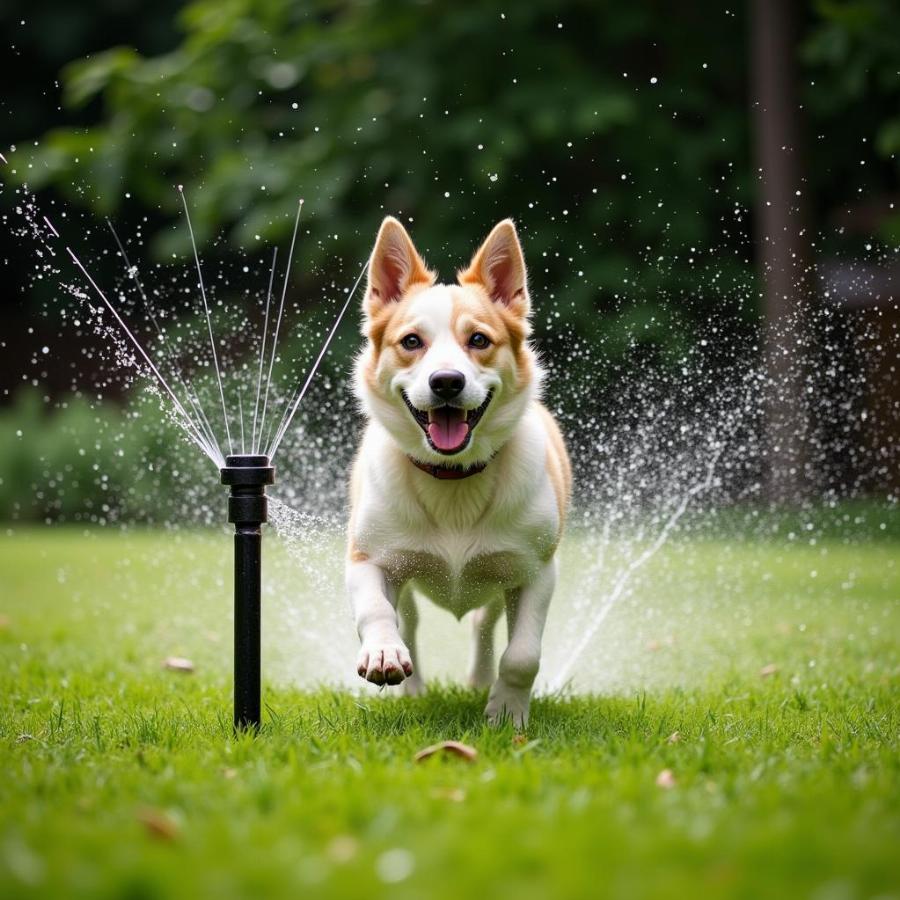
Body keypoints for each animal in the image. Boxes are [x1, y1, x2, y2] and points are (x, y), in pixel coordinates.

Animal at [346, 220, 568, 732]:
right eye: (411, 342)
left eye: (479, 340)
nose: (446, 382)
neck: (452, 480)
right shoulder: (366, 556)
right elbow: (375, 609)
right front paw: (384, 655)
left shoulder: (537, 569)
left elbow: (523, 655)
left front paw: (507, 712)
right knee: (408, 620)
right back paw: (411, 688)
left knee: (484, 624)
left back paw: (479, 681)